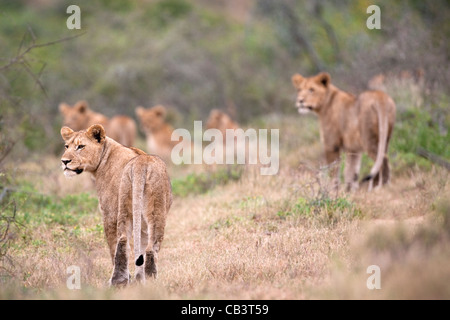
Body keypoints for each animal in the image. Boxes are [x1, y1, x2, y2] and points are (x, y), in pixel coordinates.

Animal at [60, 124, 172, 286]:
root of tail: (141, 164)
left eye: (80, 146)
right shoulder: (142, 225)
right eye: (66, 146)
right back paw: (149, 281)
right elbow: (141, 249)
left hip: (122, 209)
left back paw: (117, 281)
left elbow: (113, 248)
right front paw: (139, 280)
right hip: (156, 212)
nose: (64, 161)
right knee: (151, 247)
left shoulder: (109, 214)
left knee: (123, 242)